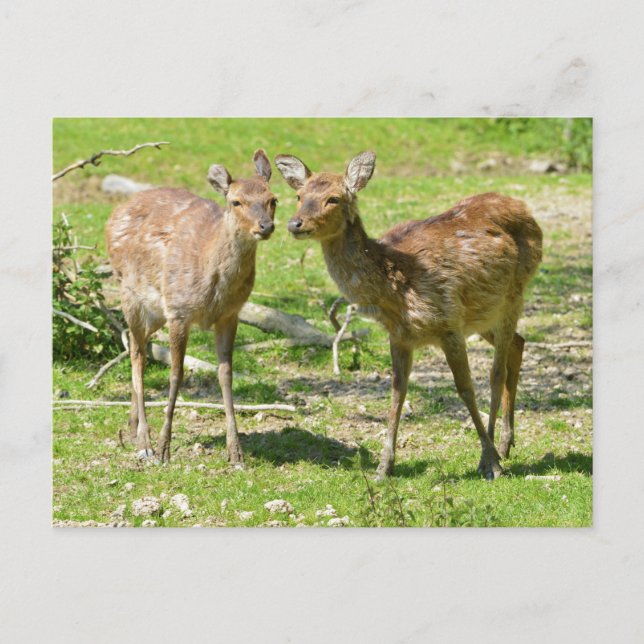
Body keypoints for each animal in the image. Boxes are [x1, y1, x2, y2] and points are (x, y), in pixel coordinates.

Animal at [106, 149, 277, 464]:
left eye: (273, 199)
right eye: (236, 201)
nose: (266, 226)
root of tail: (113, 213)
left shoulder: (230, 314)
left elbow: (226, 375)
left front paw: (236, 452)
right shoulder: (179, 311)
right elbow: (176, 374)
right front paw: (164, 448)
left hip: (154, 312)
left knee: (138, 347)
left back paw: (132, 426)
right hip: (129, 294)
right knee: (137, 355)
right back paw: (144, 442)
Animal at [275, 151, 542, 480]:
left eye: (333, 199)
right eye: (299, 196)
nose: (295, 223)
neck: (396, 289)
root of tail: (525, 210)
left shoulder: (448, 322)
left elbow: (465, 389)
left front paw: (491, 463)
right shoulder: (400, 335)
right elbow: (397, 392)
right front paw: (383, 467)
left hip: (513, 294)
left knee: (497, 371)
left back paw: (494, 453)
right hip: (481, 313)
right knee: (518, 343)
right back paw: (505, 445)